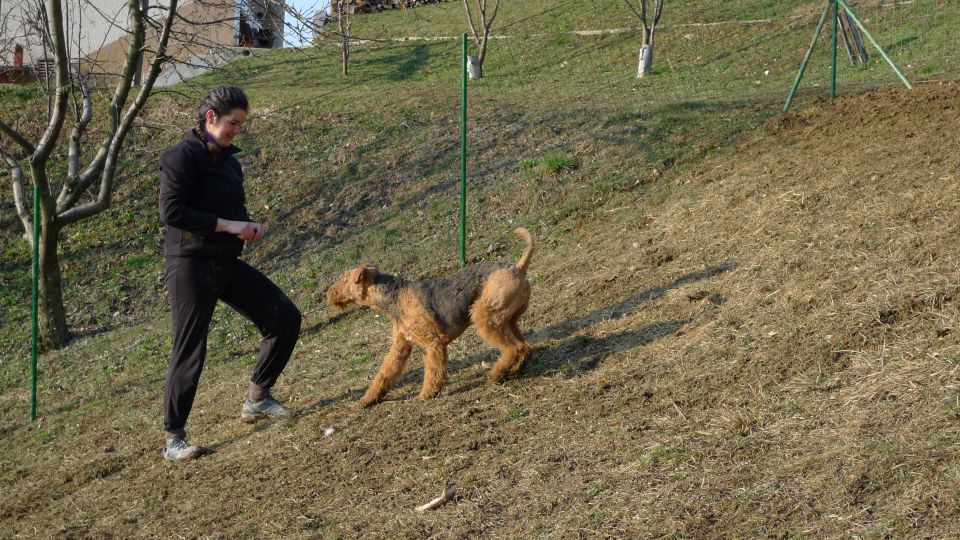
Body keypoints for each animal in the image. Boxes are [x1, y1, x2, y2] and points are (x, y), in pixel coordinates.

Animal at [328, 226, 536, 408]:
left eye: (345, 278)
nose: (330, 293)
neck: (395, 297)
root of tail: (518, 267)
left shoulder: (434, 343)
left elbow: (432, 371)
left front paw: (425, 395)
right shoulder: (400, 346)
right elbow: (385, 373)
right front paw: (366, 400)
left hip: (484, 317)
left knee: (513, 347)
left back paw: (497, 373)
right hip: (507, 320)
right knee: (524, 346)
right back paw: (513, 369)